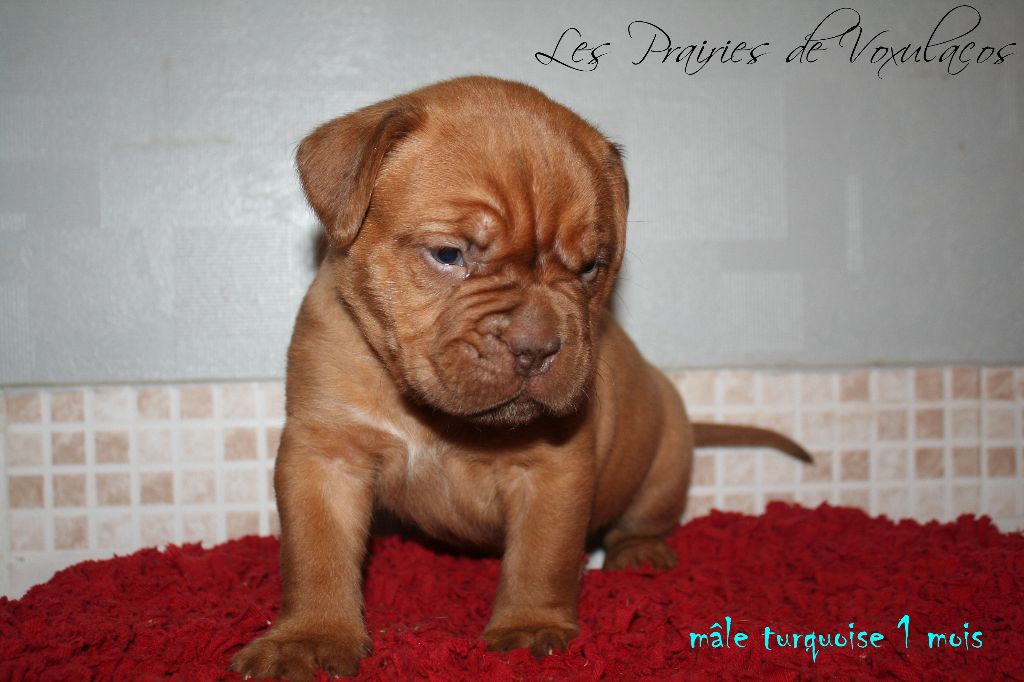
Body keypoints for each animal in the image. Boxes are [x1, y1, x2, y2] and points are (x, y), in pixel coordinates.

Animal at [230, 76, 811, 680]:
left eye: (590, 267)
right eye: (448, 254)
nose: (537, 349)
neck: (434, 415)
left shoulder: (552, 471)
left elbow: (541, 559)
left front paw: (529, 625)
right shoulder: (326, 456)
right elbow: (315, 557)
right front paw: (308, 636)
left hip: (666, 457)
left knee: (644, 516)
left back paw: (639, 551)